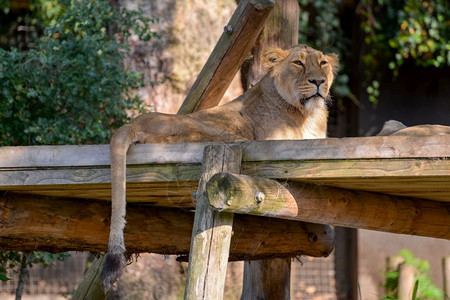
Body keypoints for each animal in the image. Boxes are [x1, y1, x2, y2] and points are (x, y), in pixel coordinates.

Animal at [101, 43, 338, 290]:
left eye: (323, 63)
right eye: (298, 63)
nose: (318, 81)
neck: (308, 115)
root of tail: (133, 123)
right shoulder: (275, 140)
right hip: (215, 133)